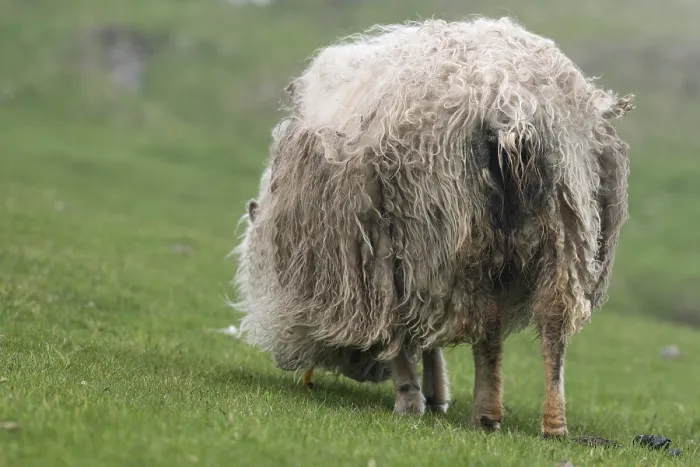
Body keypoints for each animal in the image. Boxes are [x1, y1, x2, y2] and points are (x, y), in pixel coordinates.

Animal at [231, 16, 634, 438]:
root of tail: (511, 103)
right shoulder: (424, 270)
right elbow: (425, 336)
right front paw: (434, 393)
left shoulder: (386, 265)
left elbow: (399, 334)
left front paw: (411, 397)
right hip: (566, 226)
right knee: (553, 324)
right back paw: (553, 422)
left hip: (456, 228)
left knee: (488, 325)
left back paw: (486, 413)